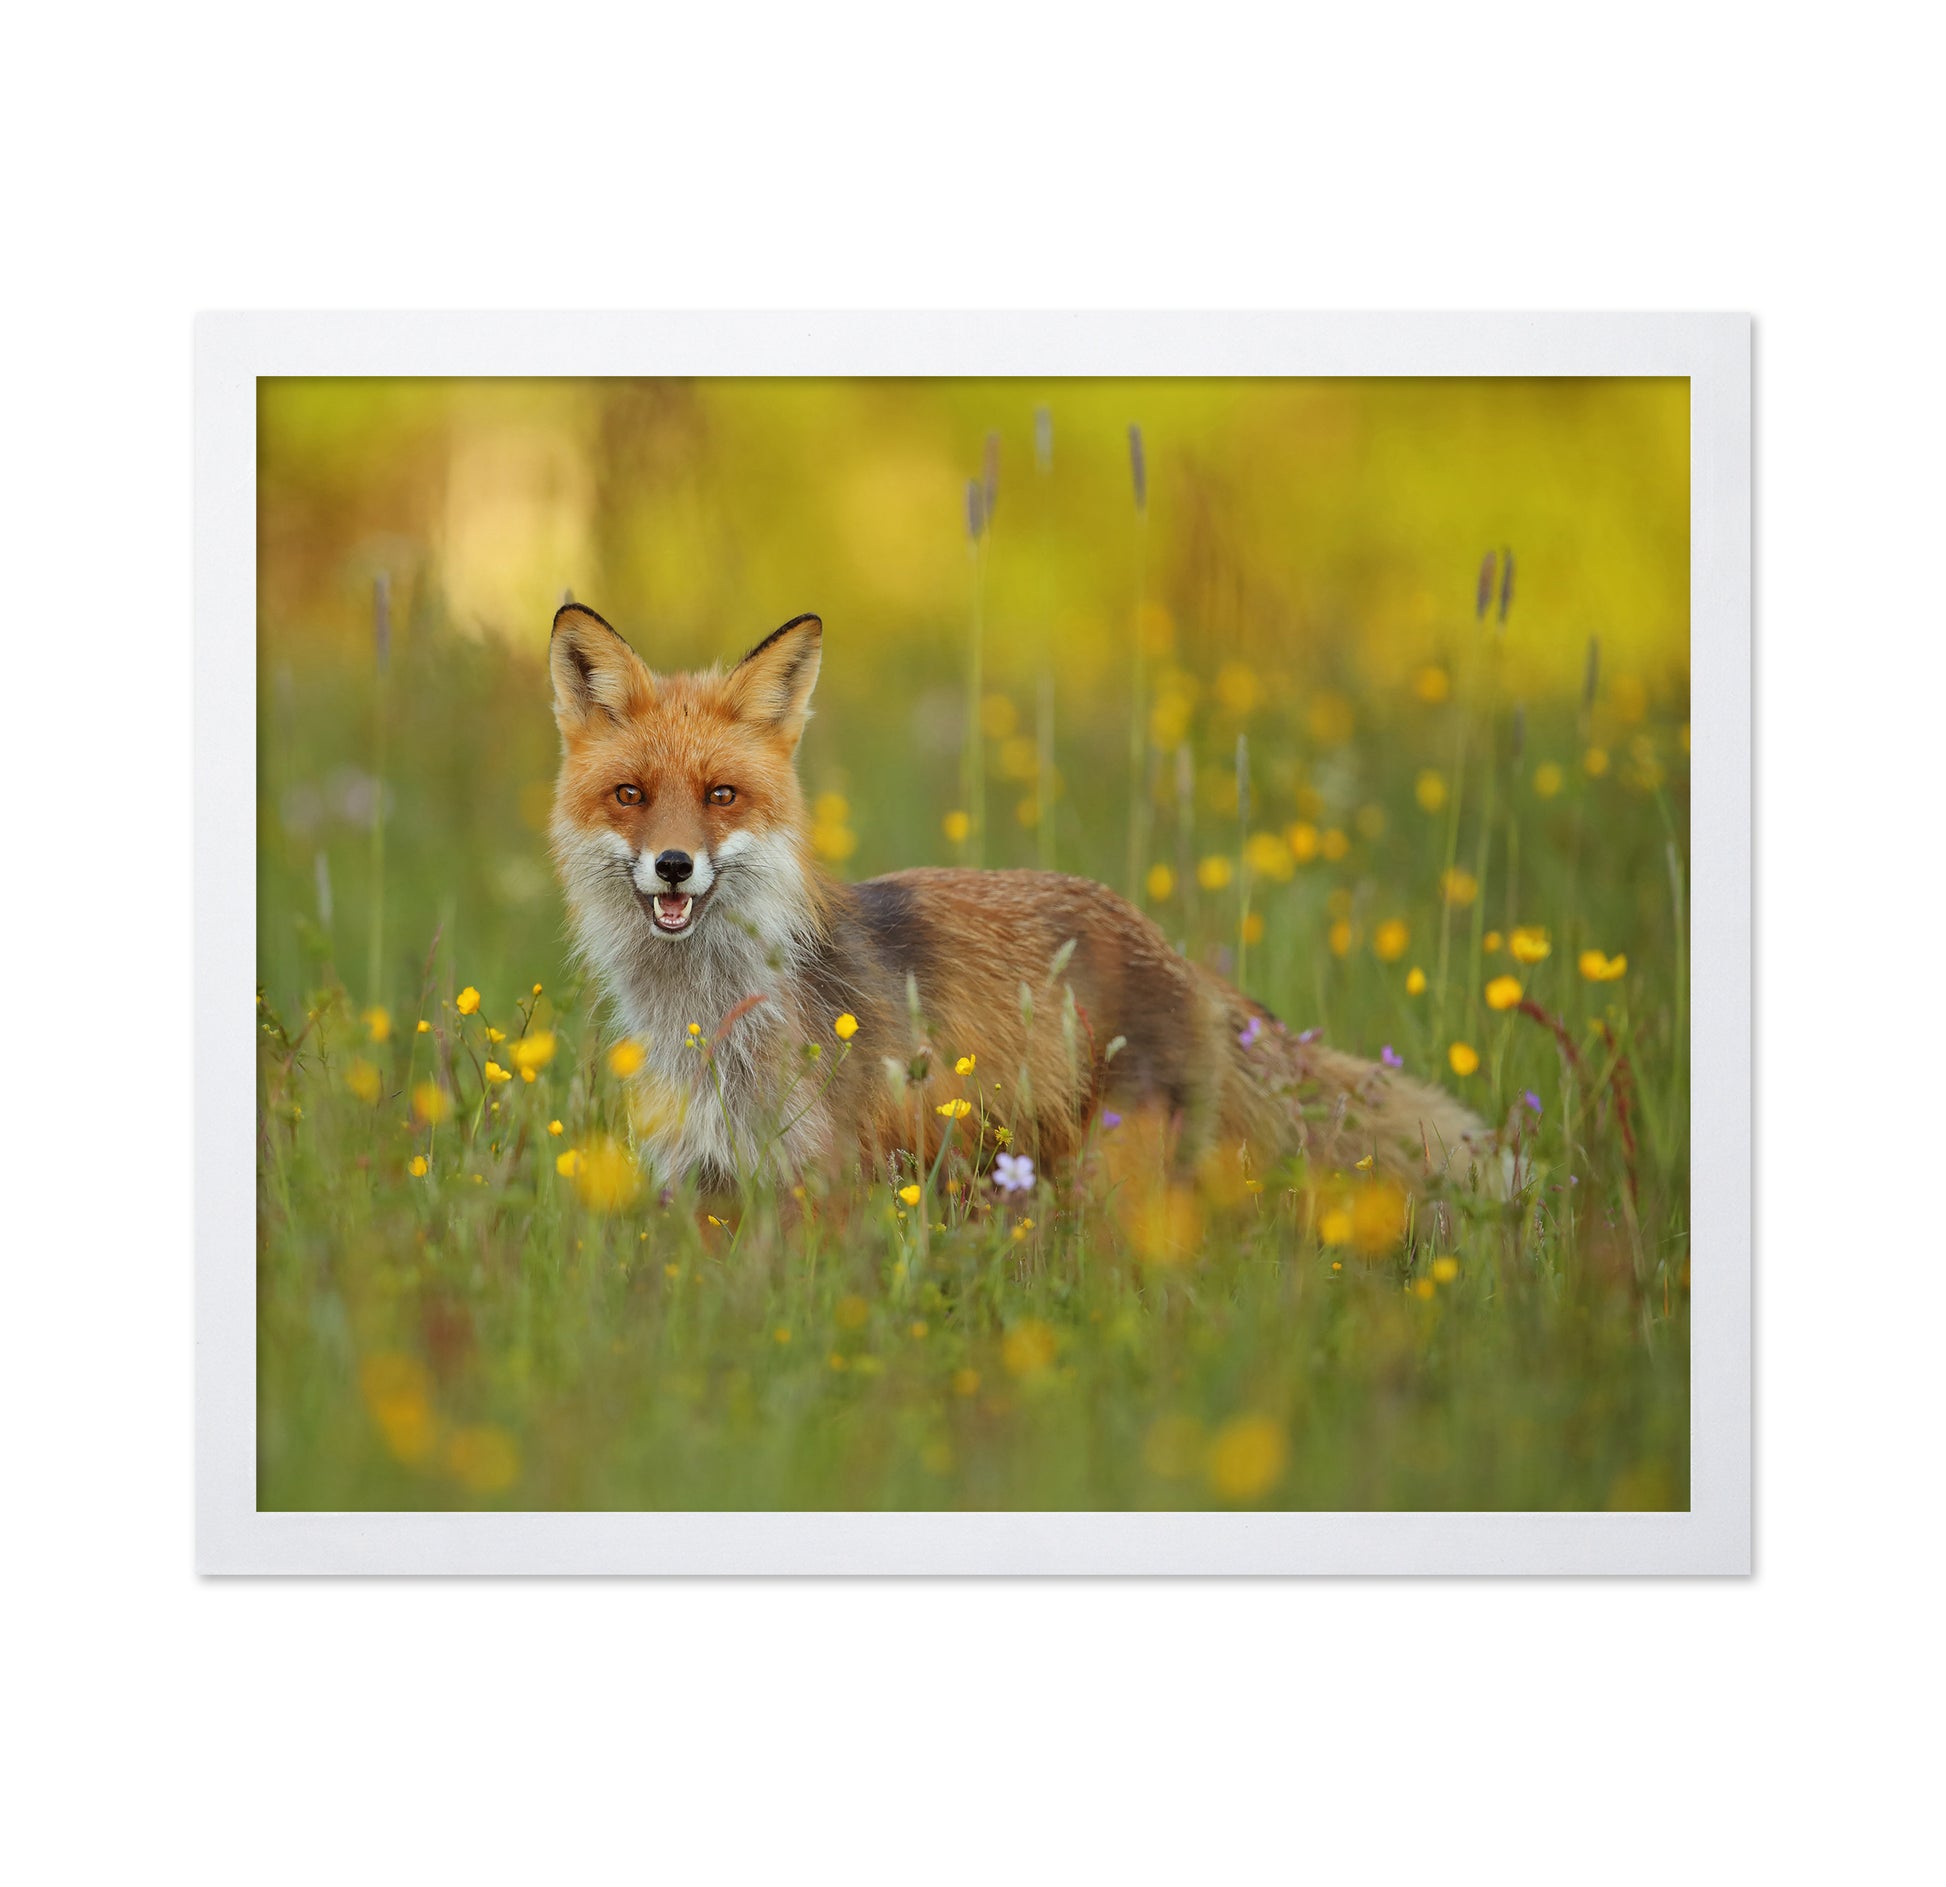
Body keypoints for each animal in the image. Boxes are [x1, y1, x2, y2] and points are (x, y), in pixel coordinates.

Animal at [547, 602, 1501, 1200]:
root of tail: (1169, 949)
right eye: (630, 795)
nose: (674, 866)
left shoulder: (823, 1179)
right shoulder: (705, 1182)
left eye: (721, 796)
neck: (716, 1020)